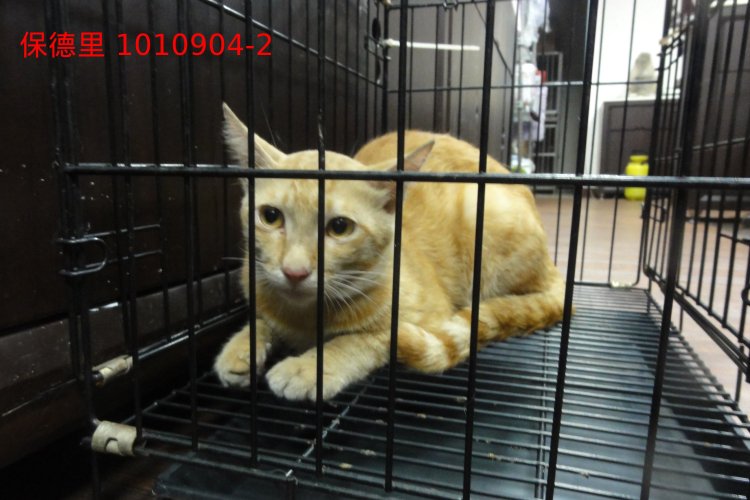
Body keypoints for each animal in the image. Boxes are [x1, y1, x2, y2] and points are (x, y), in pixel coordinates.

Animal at [214, 103, 566, 401]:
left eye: (339, 227)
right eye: (271, 216)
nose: (294, 271)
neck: (305, 317)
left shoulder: (427, 318)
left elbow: (363, 339)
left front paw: (310, 367)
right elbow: (262, 319)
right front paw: (242, 345)